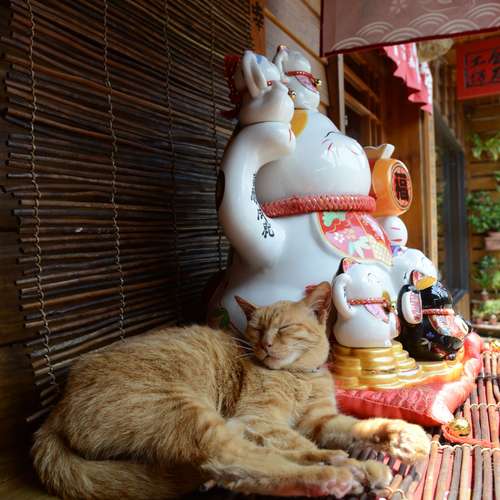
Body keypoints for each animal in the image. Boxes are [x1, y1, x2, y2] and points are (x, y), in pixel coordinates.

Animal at [32, 282, 430, 500]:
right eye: (256, 330)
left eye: (283, 328)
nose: (265, 345)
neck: (299, 377)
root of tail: (54, 412)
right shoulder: (260, 417)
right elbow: (298, 441)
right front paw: (351, 461)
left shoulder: (321, 420)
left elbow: (356, 426)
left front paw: (402, 436)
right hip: (188, 413)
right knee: (235, 462)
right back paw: (334, 474)